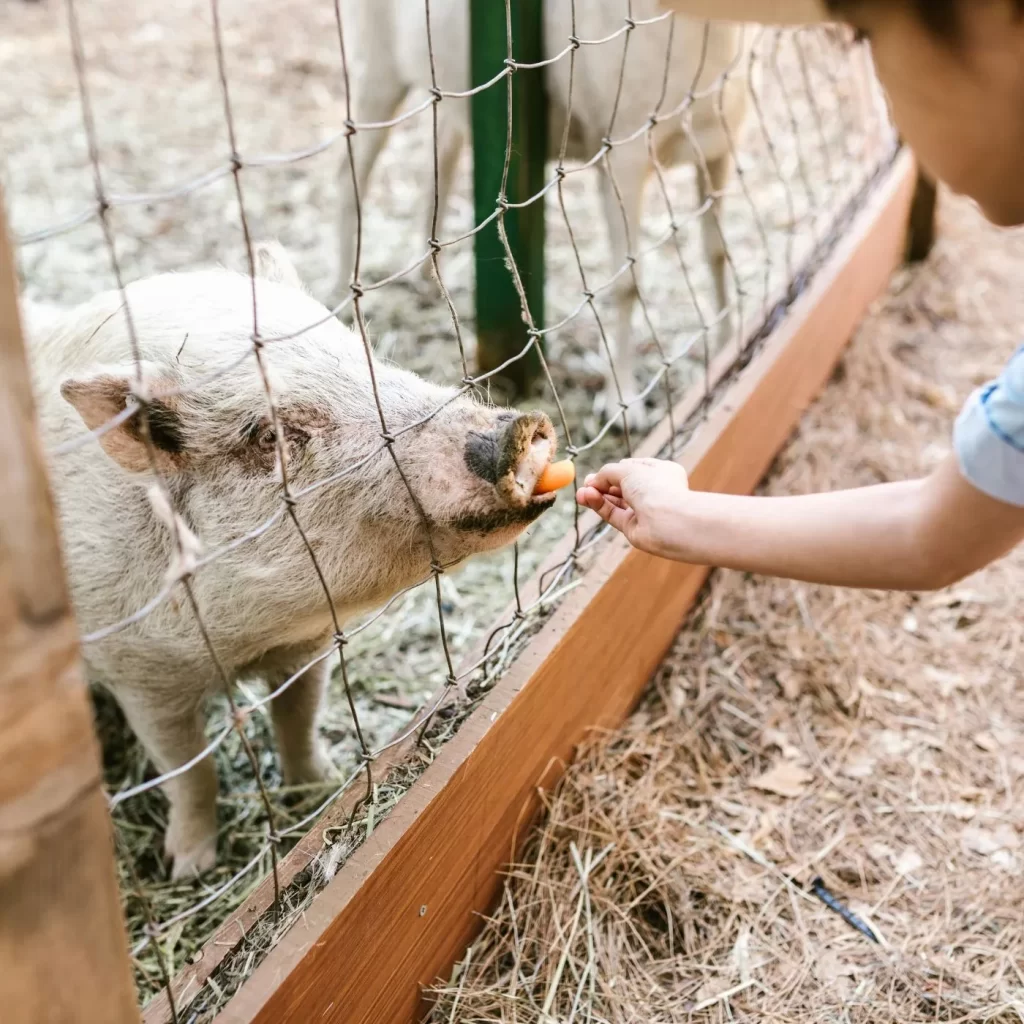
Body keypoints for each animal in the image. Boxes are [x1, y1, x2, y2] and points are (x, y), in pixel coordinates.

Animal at [31, 242, 559, 877]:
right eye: (271, 437)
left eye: (364, 356)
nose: (515, 429)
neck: (244, 644)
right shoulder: (139, 674)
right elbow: (188, 772)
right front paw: (190, 866)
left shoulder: (308, 646)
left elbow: (299, 717)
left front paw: (319, 789)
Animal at [335, 0, 750, 428]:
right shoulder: (623, 155)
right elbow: (627, 281)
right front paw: (623, 402)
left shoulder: (721, 146)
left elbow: (718, 253)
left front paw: (727, 348)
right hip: (374, 74)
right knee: (349, 179)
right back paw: (342, 300)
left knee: (441, 160)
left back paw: (428, 279)